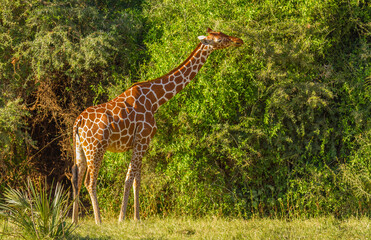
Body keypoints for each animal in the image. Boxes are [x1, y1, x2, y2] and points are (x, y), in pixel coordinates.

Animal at [71, 28, 244, 225]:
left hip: (80, 148)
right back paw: (98, 221)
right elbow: (129, 179)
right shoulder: (142, 139)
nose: (239, 40)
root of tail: (78, 121)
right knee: (89, 182)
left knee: (76, 179)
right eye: (220, 39)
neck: (156, 100)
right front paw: (122, 219)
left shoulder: (141, 143)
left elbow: (137, 180)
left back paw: (74, 221)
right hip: (96, 147)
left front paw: (137, 218)